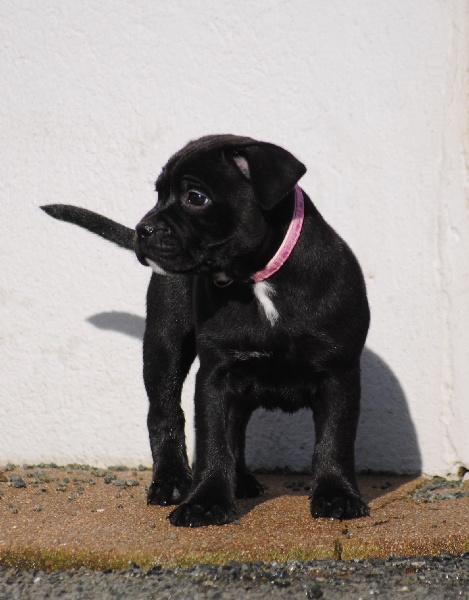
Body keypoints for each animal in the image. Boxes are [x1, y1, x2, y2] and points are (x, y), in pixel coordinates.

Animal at [42, 134, 370, 527]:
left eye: (195, 197)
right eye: (158, 194)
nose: (142, 229)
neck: (259, 280)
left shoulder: (338, 372)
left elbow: (334, 438)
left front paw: (337, 495)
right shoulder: (216, 375)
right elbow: (213, 439)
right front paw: (205, 500)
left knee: (236, 426)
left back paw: (239, 480)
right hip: (164, 345)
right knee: (165, 413)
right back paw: (171, 482)